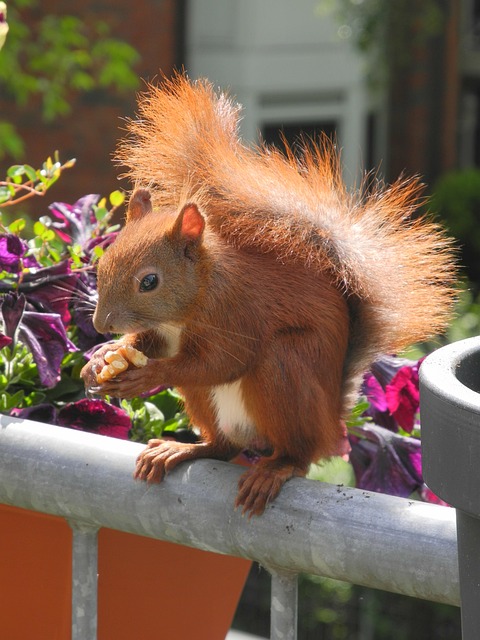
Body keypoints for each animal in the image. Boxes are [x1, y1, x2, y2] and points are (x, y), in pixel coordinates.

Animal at [81, 74, 458, 516]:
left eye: (149, 282)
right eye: (102, 262)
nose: (101, 324)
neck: (195, 296)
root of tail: (330, 421)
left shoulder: (236, 313)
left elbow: (220, 362)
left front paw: (149, 374)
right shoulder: (163, 332)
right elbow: (148, 344)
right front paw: (102, 359)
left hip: (285, 368)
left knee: (298, 452)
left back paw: (275, 469)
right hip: (208, 405)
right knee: (223, 447)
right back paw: (182, 450)